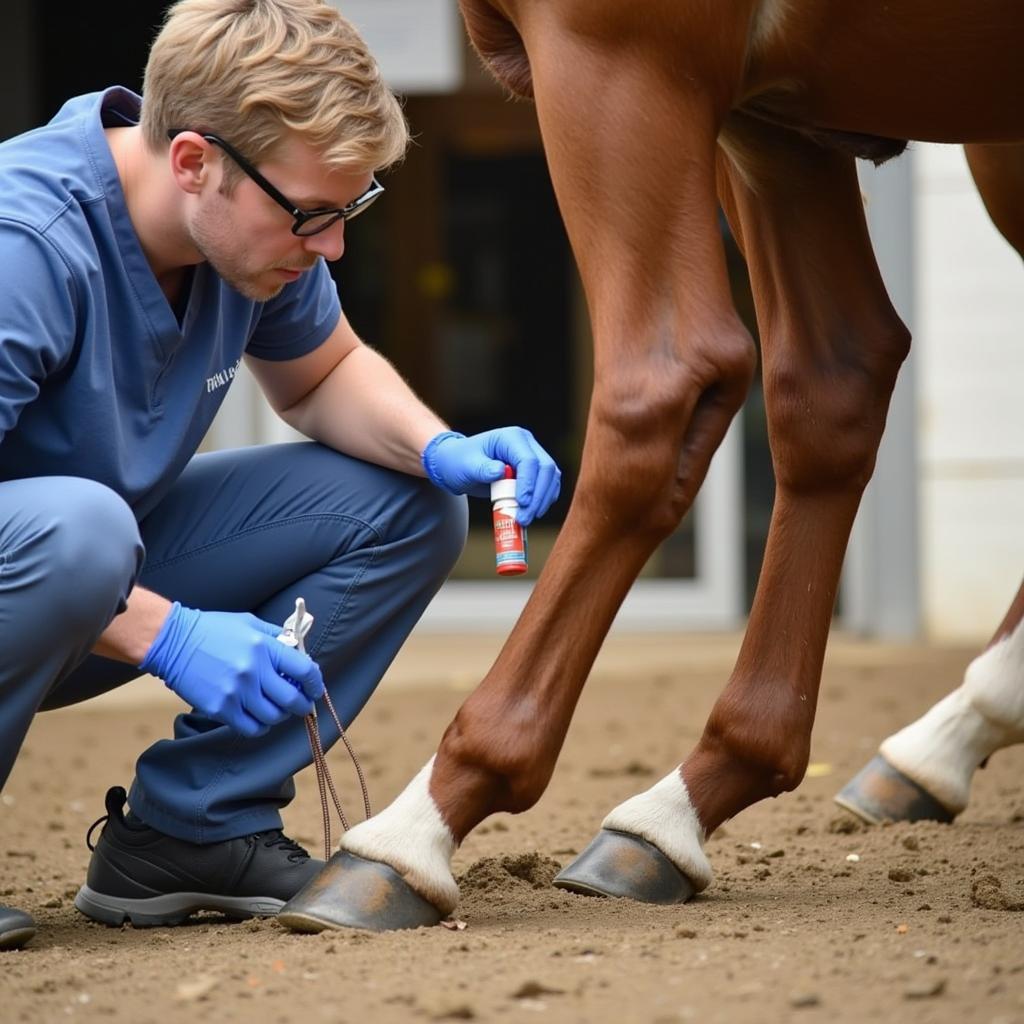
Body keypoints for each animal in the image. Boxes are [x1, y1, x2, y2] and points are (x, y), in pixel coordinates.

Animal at [280, 0, 1024, 929]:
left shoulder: (616, 58)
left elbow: (663, 391)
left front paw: (416, 826)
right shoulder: (770, 124)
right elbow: (833, 387)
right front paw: (695, 798)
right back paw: (944, 739)